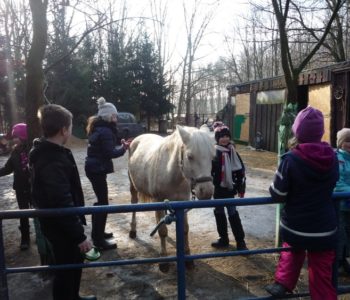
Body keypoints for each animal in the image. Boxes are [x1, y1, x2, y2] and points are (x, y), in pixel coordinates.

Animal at [129, 124, 216, 272]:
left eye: (212, 157)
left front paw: (188, 259)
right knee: (134, 205)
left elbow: (185, 229)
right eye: (190, 156)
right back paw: (133, 230)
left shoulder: (182, 203)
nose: (207, 192)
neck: (172, 174)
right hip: (133, 188)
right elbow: (162, 231)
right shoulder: (158, 201)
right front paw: (164, 260)